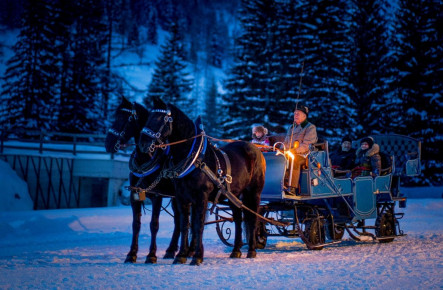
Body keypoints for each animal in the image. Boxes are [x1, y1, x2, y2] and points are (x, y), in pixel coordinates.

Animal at [105, 96, 181, 264]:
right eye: (115, 116)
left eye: (127, 118)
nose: (108, 143)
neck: (144, 159)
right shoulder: (134, 195)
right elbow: (136, 224)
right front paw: (131, 253)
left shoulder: (157, 196)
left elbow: (154, 224)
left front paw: (151, 255)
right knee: (180, 220)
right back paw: (171, 250)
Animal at [139, 97, 266, 266]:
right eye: (148, 117)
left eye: (161, 118)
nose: (143, 143)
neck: (194, 158)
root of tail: (256, 149)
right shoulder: (182, 197)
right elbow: (185, 225)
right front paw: (181, 255)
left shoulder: (201, 196)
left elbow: (198, 225)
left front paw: (197, 256)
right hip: (234, 194)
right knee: (239, 219)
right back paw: (236, 250)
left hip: (253, 193)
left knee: (252, 217)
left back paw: (251, 250)